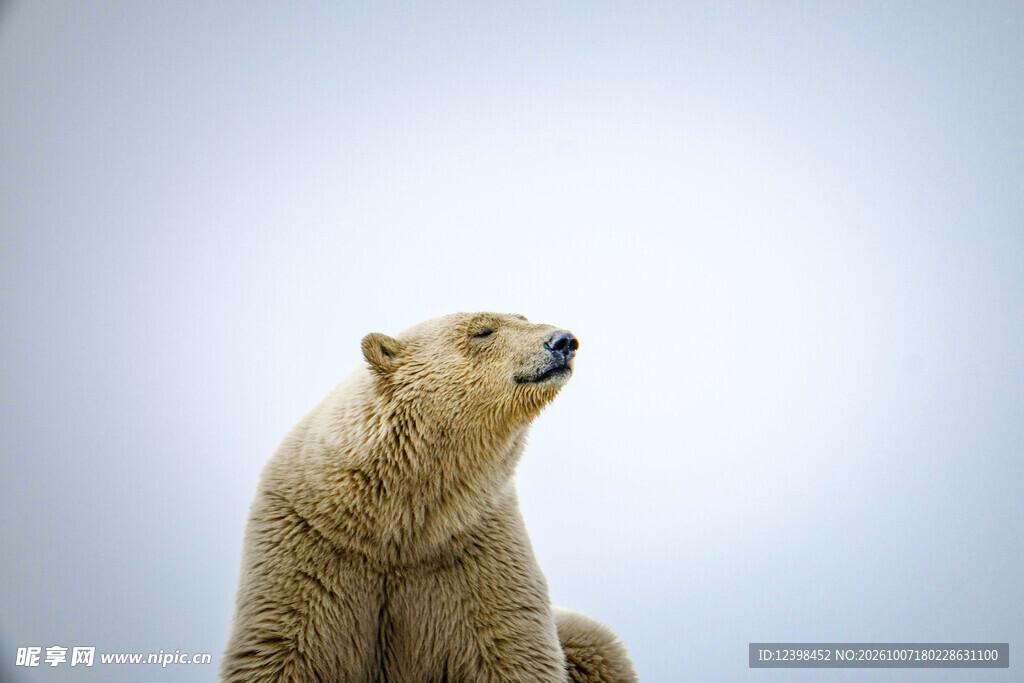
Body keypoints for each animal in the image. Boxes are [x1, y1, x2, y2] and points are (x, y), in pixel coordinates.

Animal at [222, 312, 637, 682]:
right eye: (483, 331)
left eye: (524, 317)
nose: (564, 341)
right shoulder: (308, 551)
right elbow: (282, 648)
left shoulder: (476, 550)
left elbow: (513, 648)